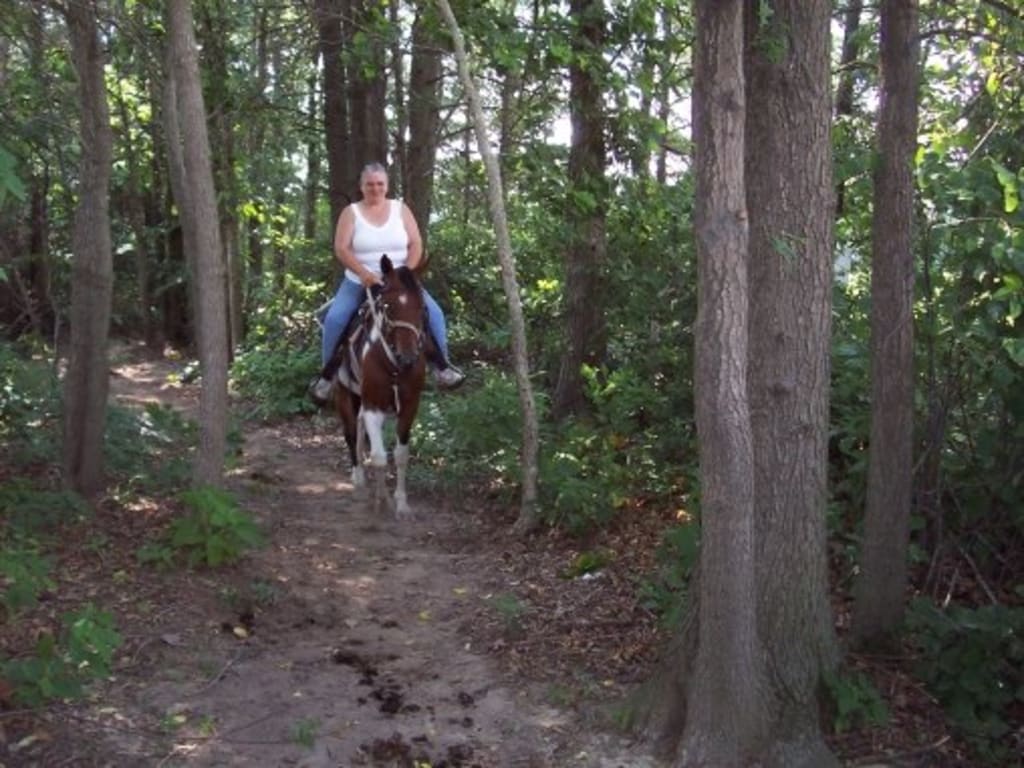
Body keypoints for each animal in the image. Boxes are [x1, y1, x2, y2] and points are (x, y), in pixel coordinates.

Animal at [333, 255, 427, 517]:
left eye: (422, 307)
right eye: (387, 306)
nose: (408, 357)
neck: (393, 365)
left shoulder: (409, 405)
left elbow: (401, 455)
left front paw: (401, 504)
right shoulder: (373, 406)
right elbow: (379, 456)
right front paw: (381, 500)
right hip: (345, 397)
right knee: (351, 434)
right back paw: (358, 482)